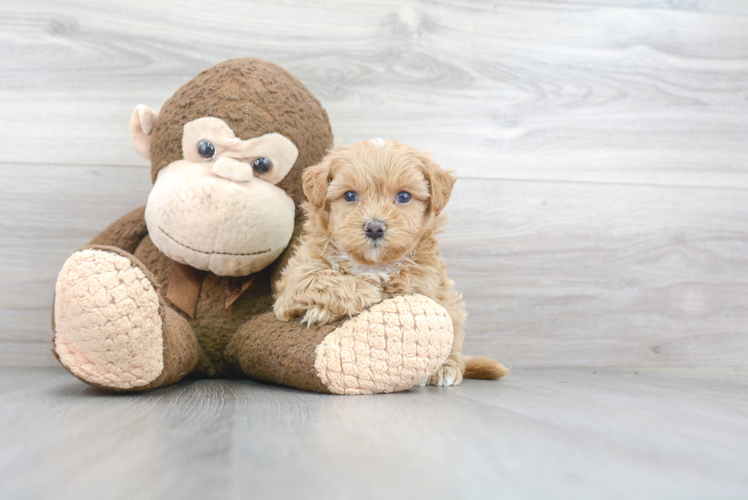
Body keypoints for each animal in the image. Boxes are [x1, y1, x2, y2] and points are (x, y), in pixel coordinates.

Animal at [274, 139, 508, 384]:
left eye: (403, 196)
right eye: (350, 196)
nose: (374, 227)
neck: (373, 265)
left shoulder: (427, 286)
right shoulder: (291, 287)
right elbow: (318, 278)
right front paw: (349, 299)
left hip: (453, 306)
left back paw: (447, 368)